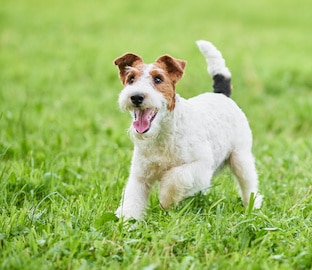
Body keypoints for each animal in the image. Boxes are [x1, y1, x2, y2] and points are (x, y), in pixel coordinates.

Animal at [113, 41, 262, 220]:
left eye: (158, 79)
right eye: (131, 79)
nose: (136, 97)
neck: (161, 135)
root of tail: (222, 95)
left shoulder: (201, 165)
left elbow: (176, 177)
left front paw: (166, 200)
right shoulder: (139, 176)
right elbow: (132, 199)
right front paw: (127, 221)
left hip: (240, 157)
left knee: (249, 185)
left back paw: (252, 207)